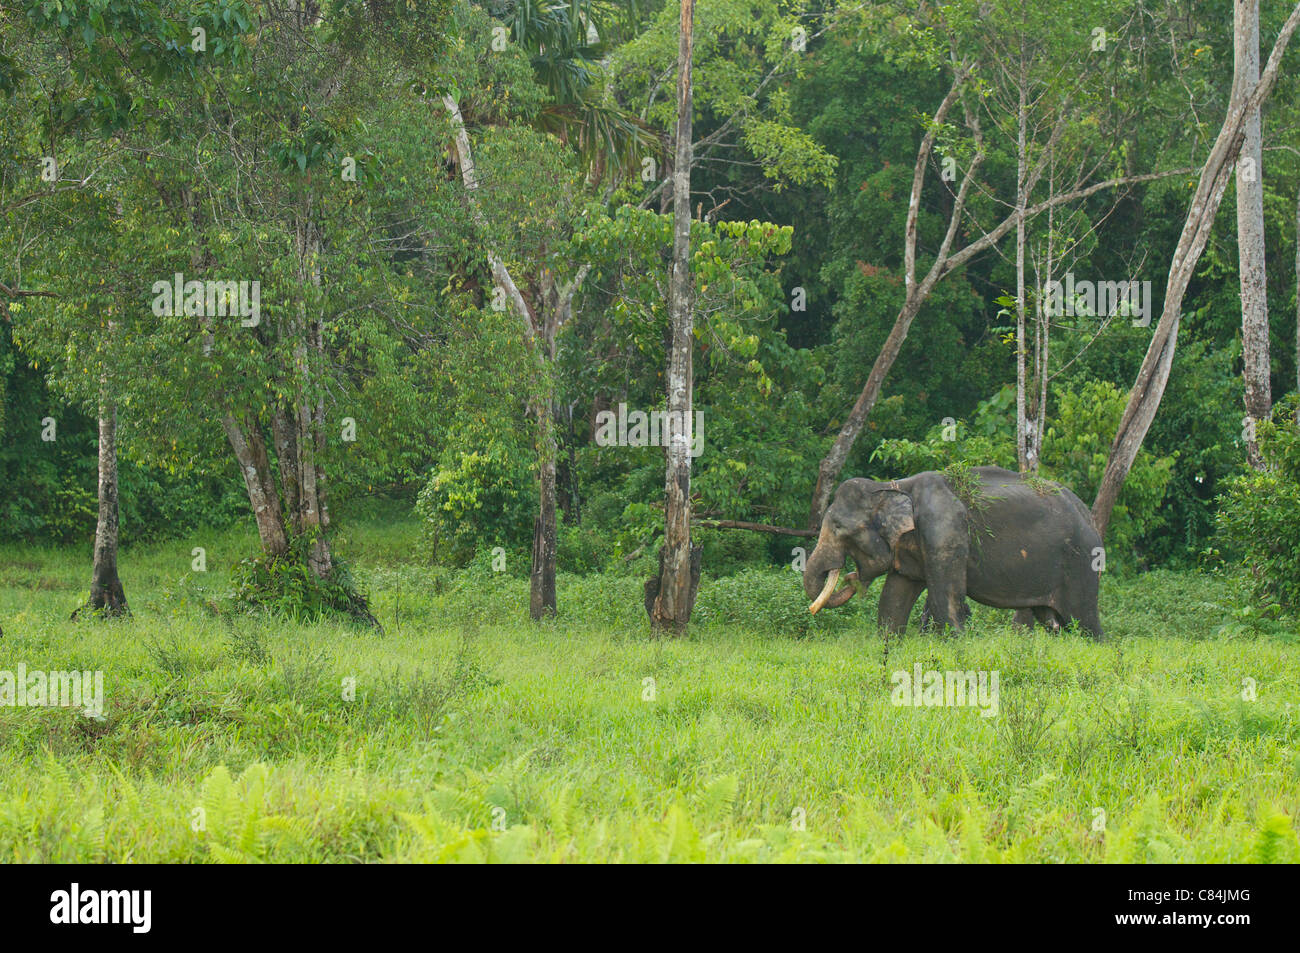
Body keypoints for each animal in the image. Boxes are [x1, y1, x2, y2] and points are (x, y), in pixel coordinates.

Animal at [803, 466, 1104, 637]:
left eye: (840, 528)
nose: (850, 577)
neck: (894, 486)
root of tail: (1089, 516)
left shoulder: (944, 530)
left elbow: (945, 601)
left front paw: (957, 643)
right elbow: (893, 599)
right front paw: (888, 643)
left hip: (1080, 565)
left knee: (1084, 622)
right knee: (1055, 622)